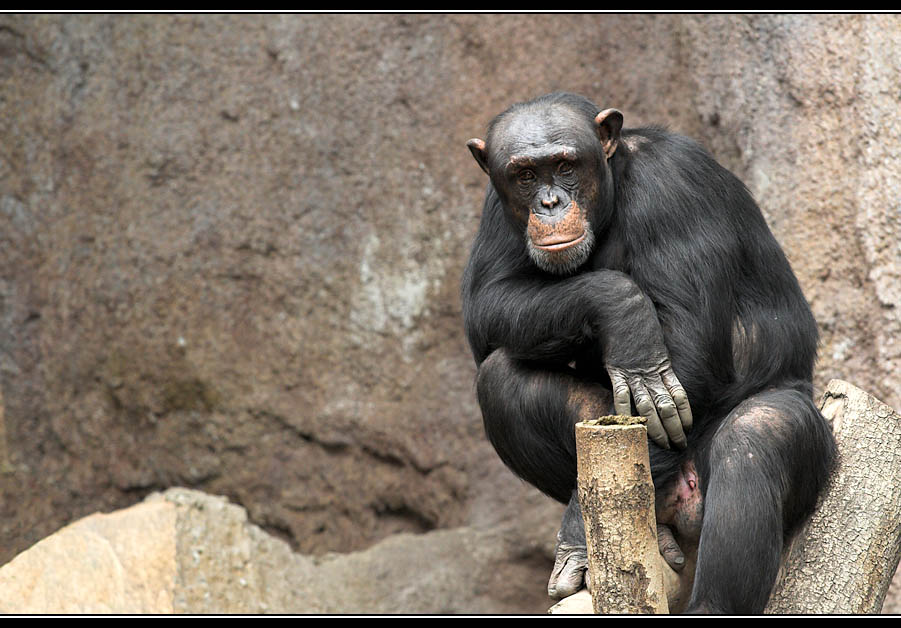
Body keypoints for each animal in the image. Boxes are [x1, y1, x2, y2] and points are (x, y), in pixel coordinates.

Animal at [464, 93, 836, 612]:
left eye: (565, 166)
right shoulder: (495, 206)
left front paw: (577, 534)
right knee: (501, 377)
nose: (550, 202)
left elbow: (690, 350)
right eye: (524, 176)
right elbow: (487, 305)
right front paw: (625, 312)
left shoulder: (673, 186)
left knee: (758, 436)